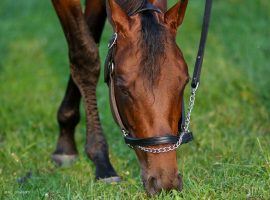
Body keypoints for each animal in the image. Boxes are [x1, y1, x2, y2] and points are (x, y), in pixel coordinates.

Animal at [51, 0, 190, 195]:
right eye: (123, 89)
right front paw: (101, 161)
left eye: (185, 82)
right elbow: (84, 55)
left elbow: (88, 36)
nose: (165, 182)